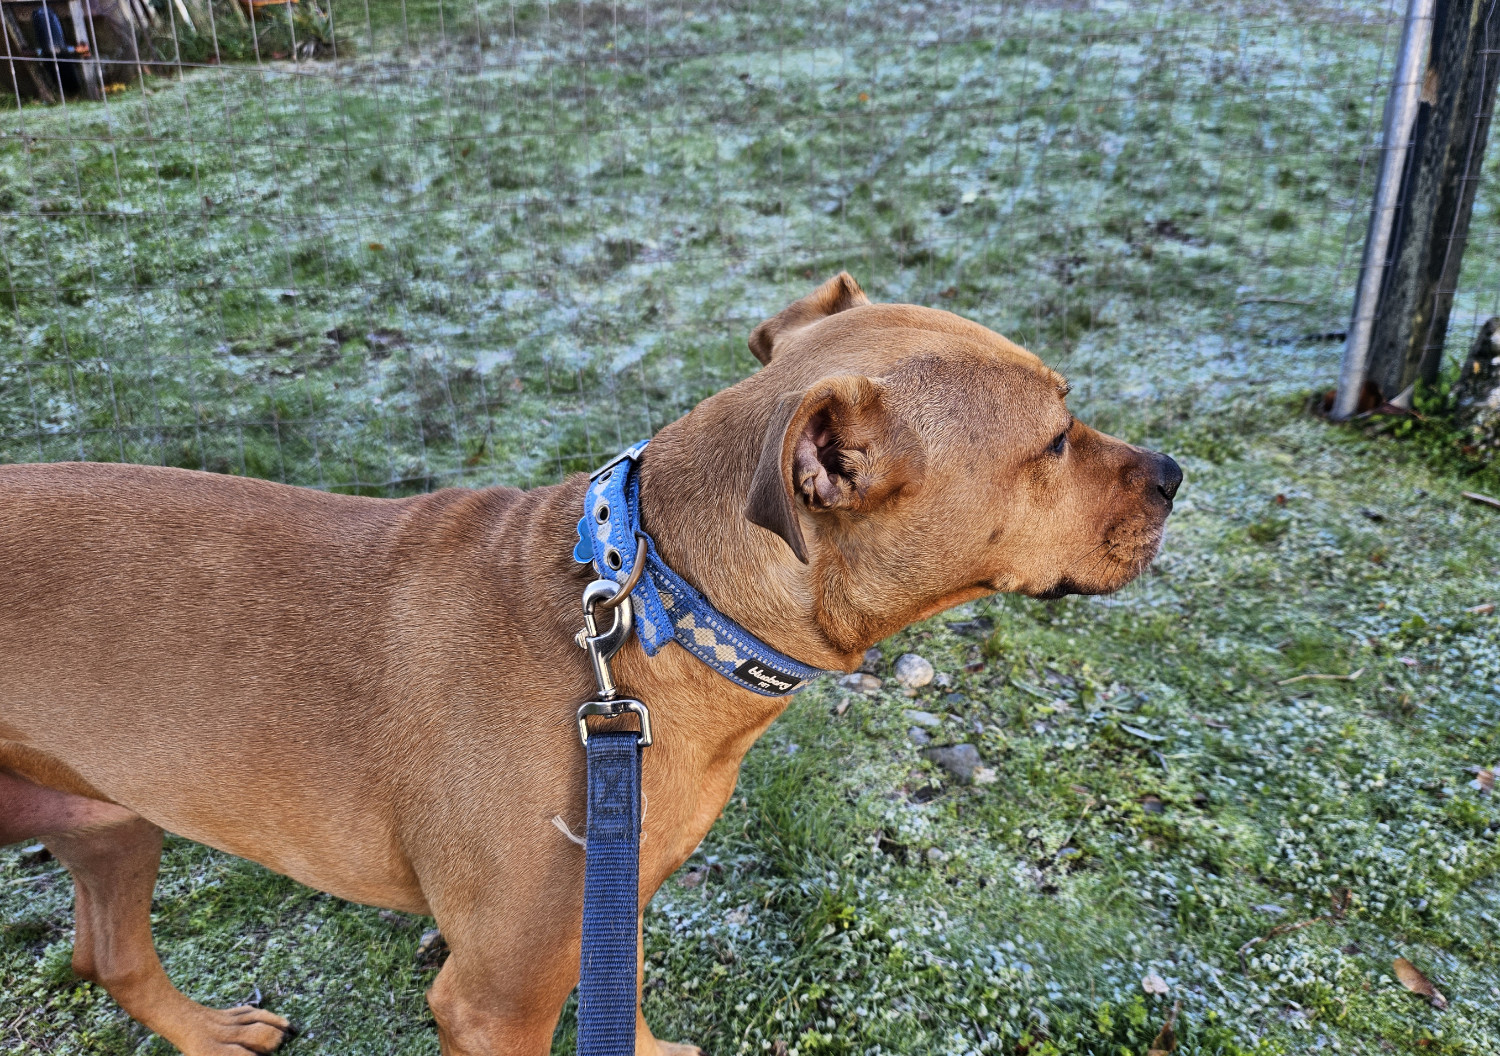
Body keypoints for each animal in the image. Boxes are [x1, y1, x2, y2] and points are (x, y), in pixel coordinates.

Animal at [2, 274, 1182, 1056]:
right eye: (1054, 441)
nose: (1176, 472)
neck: (658, 611)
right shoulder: (494, 999)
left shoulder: (614, 899)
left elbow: (628, 991)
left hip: (109, 819)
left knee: (109, 955)